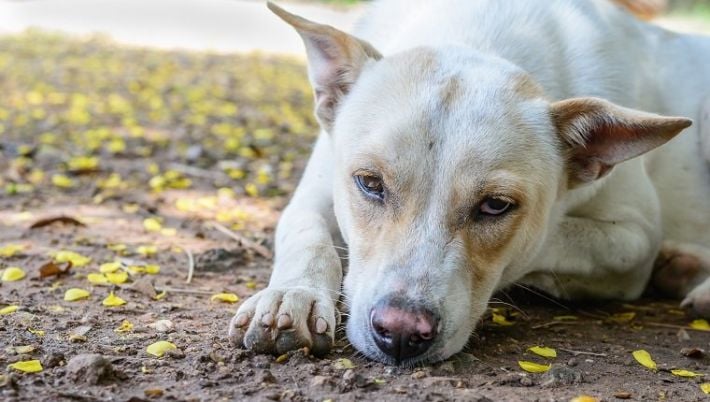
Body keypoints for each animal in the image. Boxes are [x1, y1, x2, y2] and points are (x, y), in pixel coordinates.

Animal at [229, 0, 710, 364]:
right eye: (369, 183)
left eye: (496, 206)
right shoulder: (317, 188)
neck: (480, 36)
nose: (400, 333)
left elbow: (547, 240)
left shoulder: (635, 239)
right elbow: (307, 235)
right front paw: (292, 296)